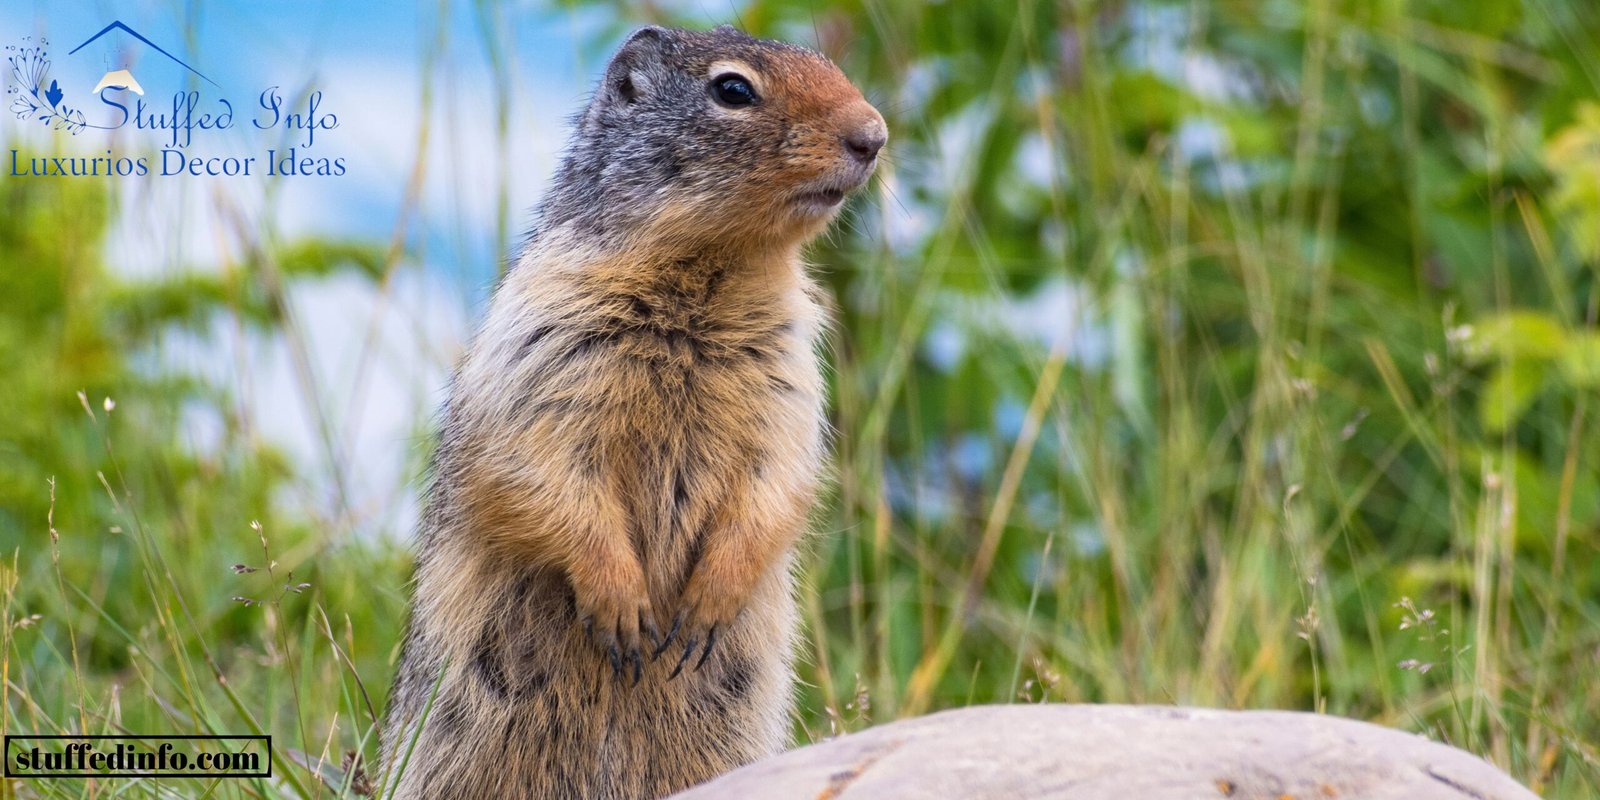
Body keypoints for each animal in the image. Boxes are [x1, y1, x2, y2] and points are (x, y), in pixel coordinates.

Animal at [382, 25, 896, 800]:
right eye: (733, 89)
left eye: (829, 63)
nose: (875, 134)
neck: (708, 278)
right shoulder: (543, 346)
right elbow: (537, 469)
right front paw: (624, 607)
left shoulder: (791, 378)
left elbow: (777, 479)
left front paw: (706, 604)